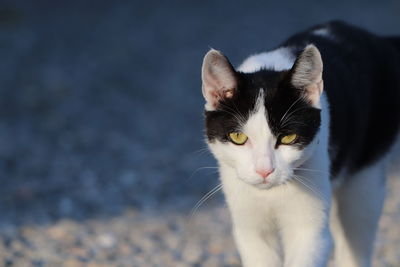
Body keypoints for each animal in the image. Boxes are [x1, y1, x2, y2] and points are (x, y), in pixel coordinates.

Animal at [202, 21, 400, 267]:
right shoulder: (250, 228)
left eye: (288, 138)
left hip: (365, 178)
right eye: (238, 137)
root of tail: (378, 40)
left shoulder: (309, 231)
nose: (265, 170)